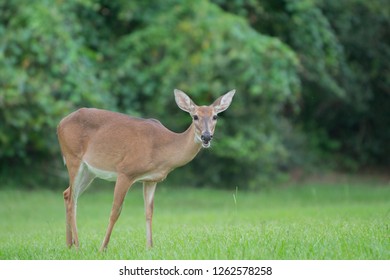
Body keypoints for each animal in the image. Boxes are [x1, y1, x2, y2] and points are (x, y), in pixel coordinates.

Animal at [56, 88, 235, 250]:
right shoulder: (125, 171)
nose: (206, 136)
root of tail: (60, 124)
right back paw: (78, 246)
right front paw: (103, 248)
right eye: (195, 116)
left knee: (67, 194)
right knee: (72, 200)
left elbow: (149, 212)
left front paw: (150, 247)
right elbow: (115, 211)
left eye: (215, 116)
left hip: (89, 171)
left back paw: (69, 244)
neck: (162, 149)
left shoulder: (151, 179)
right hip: (73, 158)